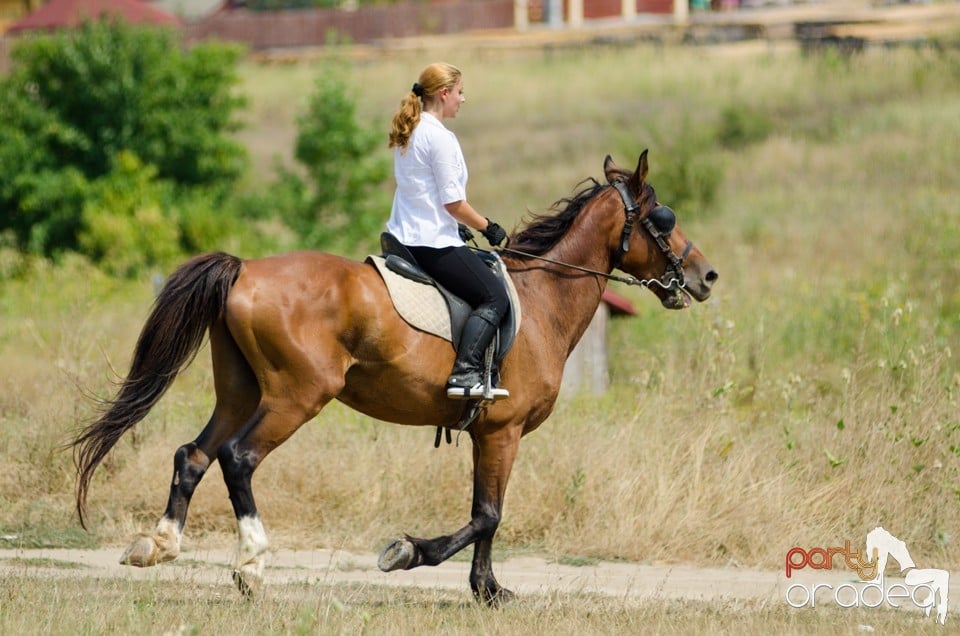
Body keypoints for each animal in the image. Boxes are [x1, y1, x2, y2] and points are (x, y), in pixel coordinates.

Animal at [71, 152, 716, 604]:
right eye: (663, 219)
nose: (706, 276)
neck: (541, 300)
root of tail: (246, 268)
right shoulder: (502, 431)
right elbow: (489, 514)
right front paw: (410, 554)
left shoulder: (486, 434)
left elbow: (486, 513)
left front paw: (486, 590)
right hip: (295, 397)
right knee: (237, 457)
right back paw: (251, 565)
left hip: (240, 390)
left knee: (194, 455)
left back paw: (158, 545)